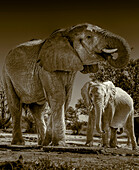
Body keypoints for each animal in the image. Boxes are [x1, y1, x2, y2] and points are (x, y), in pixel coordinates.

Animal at [1, 22, 130, 146]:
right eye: (89, 36)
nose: (110, 55)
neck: (67, 31)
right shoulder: (46, 68)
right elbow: (58, 96)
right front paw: (59, 144)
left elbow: (66, 98)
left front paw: (50, 143)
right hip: (6, 75)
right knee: (15, 106)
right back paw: (19, 143)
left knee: (38, 111)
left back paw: (41, 143)